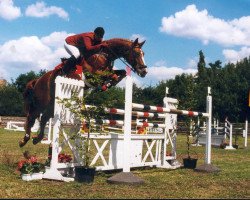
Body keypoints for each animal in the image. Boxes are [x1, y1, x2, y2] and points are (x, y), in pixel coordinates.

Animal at [20, 37, 148, 147]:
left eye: (143, 54)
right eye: (137, 53)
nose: (144, 72)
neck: (105, 55)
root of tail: (38, 80)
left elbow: (121, 73)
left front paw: (106, 85)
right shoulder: (93, 74)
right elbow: (113, 75)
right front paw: (105, 85)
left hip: (52, 105)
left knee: (44, 119)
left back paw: (37, 139)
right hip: (41, 103)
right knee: (31, 118)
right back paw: (24, 140)